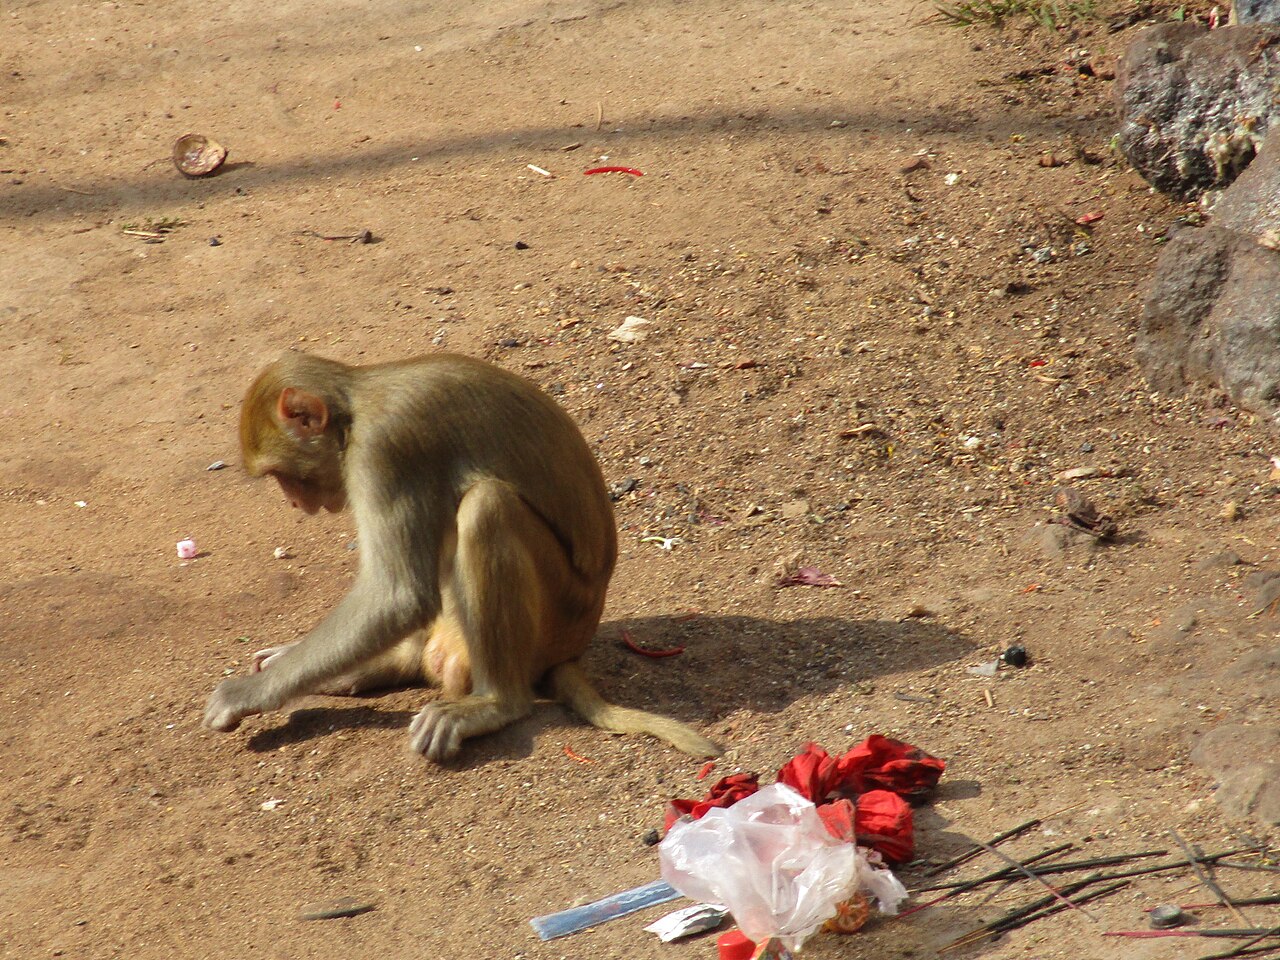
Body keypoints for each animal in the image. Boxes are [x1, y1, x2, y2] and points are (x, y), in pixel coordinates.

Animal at [203, 350, 720, 762]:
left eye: (285, 476)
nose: (294, 503)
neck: (354, 409)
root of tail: (576, 644)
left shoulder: (385, 452)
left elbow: (399, 595)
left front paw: (245, 694)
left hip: (557, 619)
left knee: (486, 506)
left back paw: (496, 704)